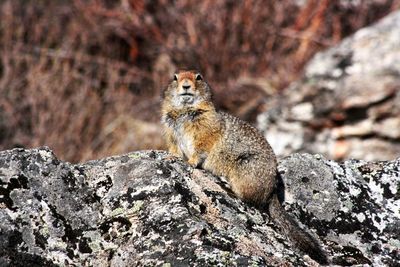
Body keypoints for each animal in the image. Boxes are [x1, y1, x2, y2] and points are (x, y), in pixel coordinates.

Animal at [161, 70, 326, 264]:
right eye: (175, 77)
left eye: (198, 76)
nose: (186, 85)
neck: (184, 111)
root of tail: (272, 191)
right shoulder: (171, 131)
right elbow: (174, 147)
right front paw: (171, 156)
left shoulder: (206, 127)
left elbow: (202, 145)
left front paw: (190, 162)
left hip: (244, 169)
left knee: (249, 199)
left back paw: (228, 189)